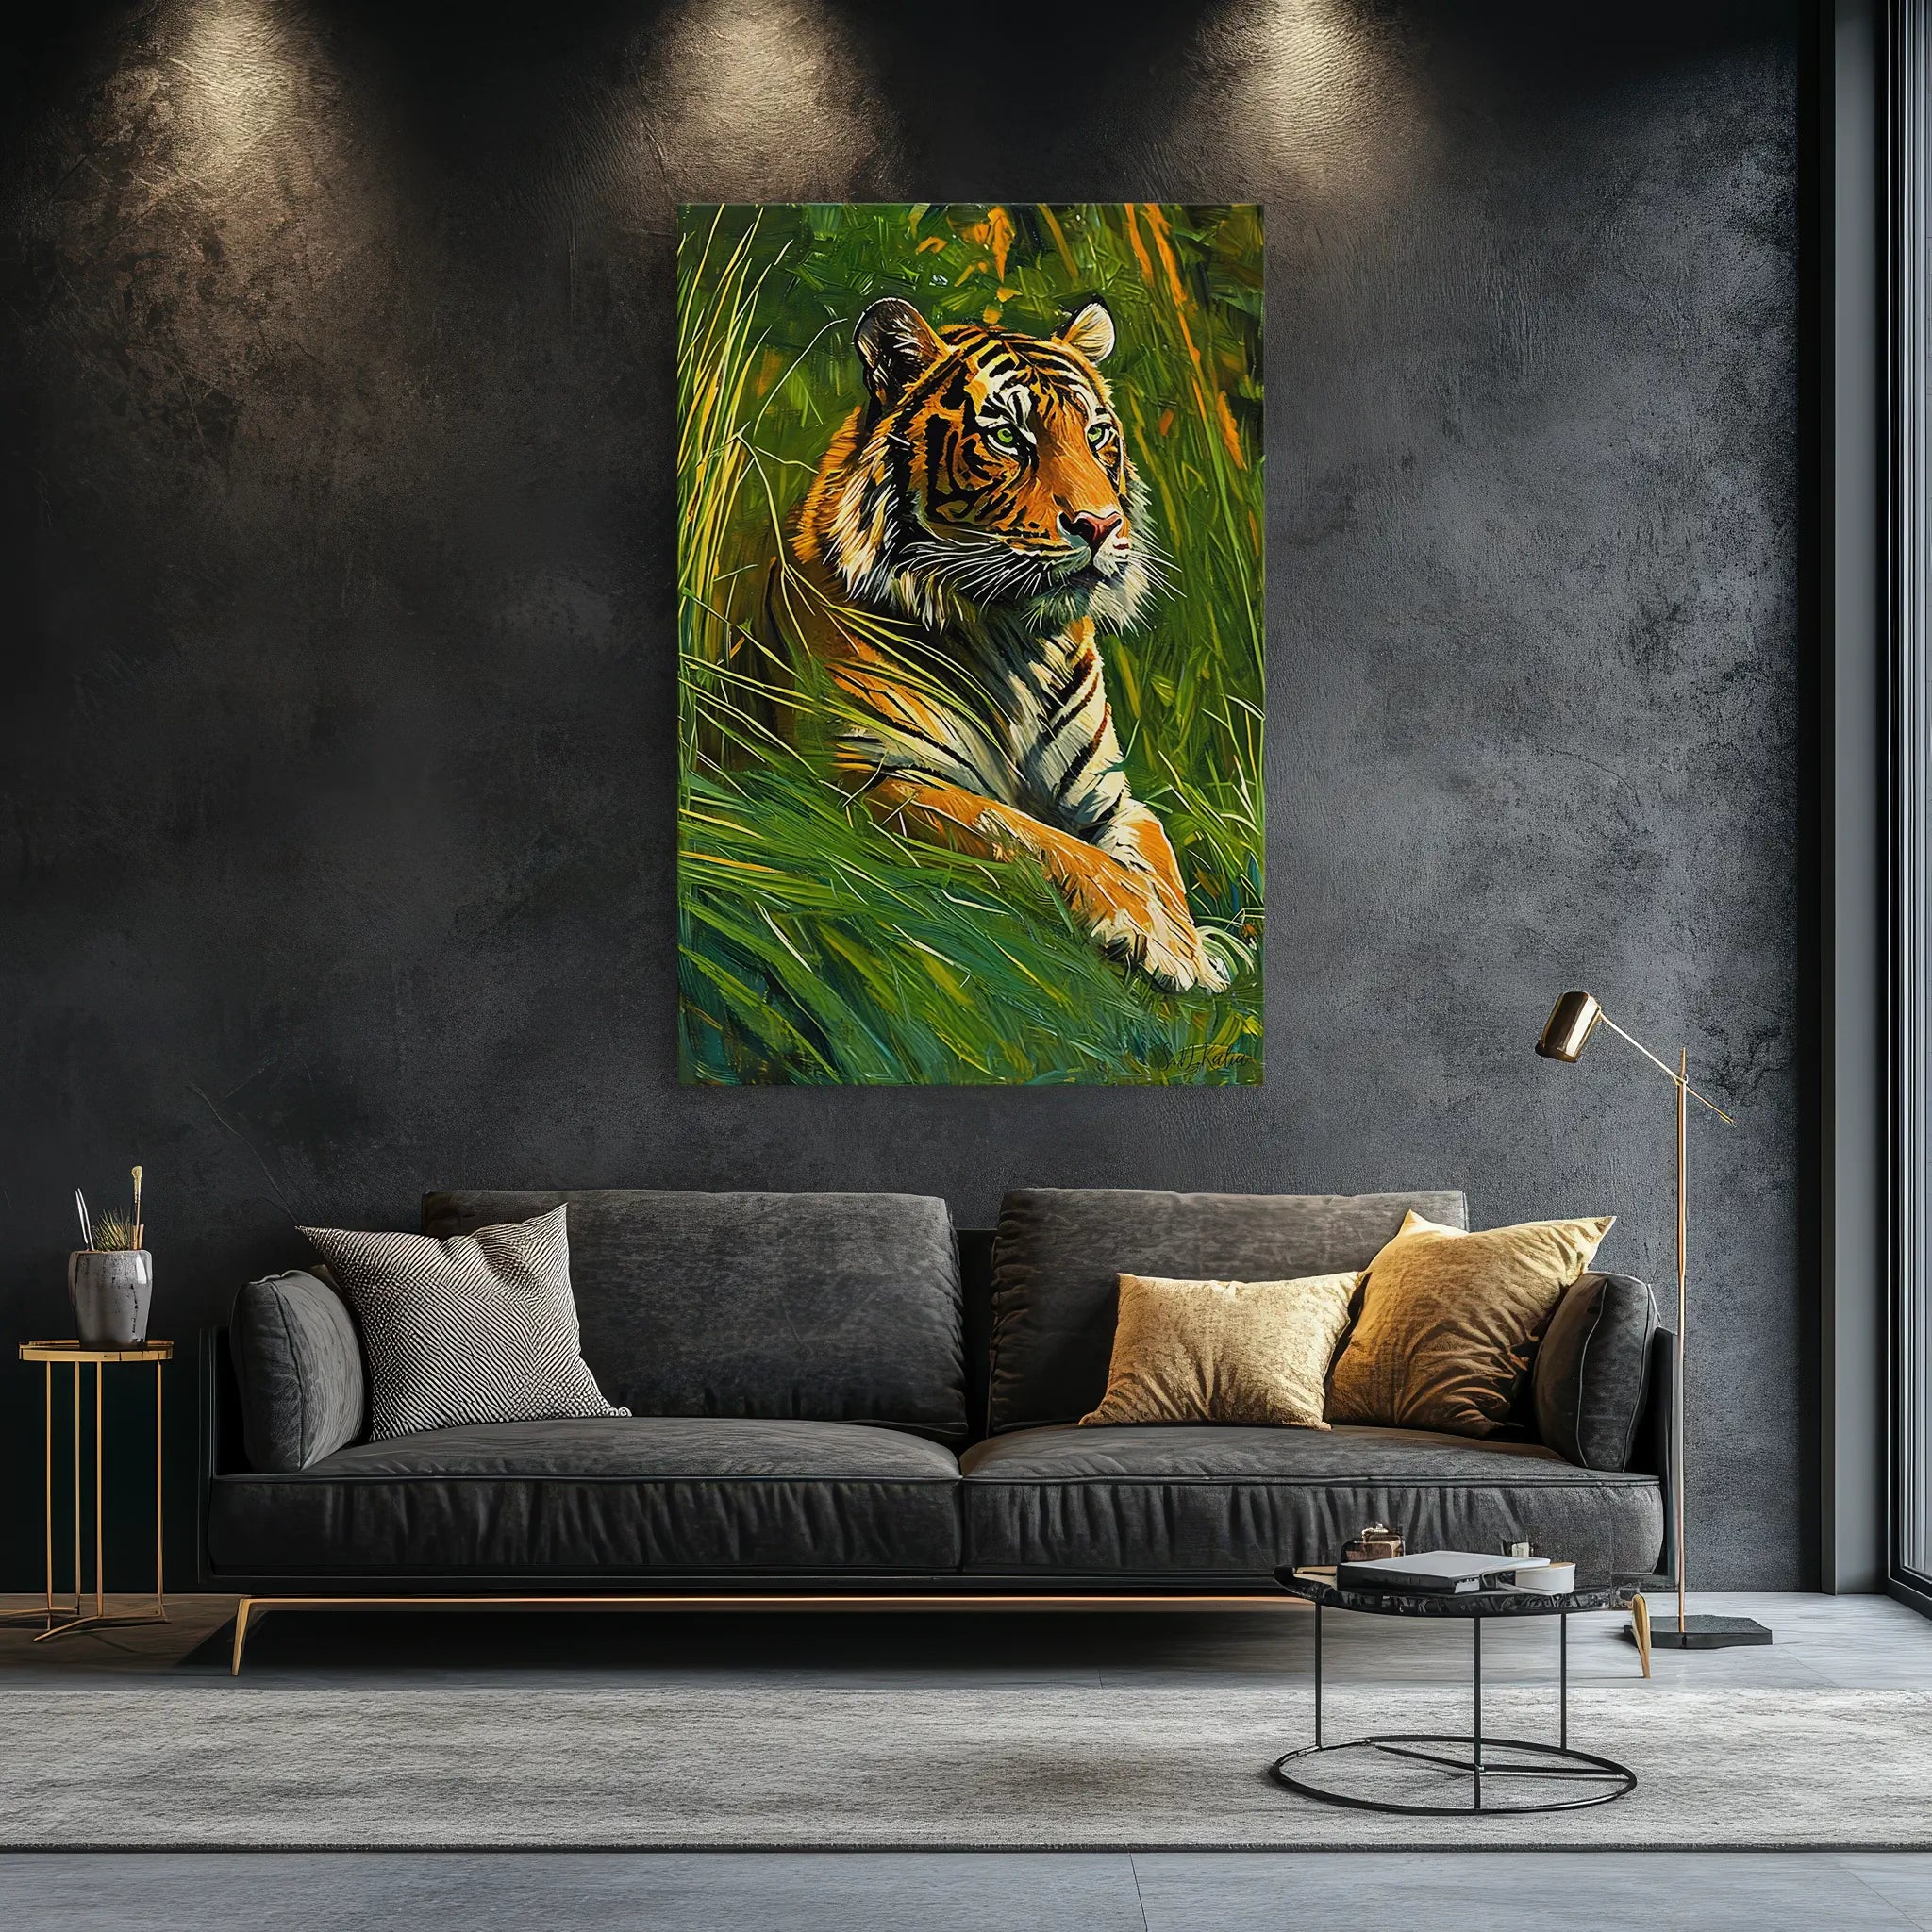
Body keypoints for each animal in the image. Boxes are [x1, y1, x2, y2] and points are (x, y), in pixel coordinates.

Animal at [772, 294, 1228, 995]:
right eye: (1009, 437)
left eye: (1098, 435)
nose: (1102, 524)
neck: (1014, 638)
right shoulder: (872, 775)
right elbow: (1029, 835)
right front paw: (1154, 936)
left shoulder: (1112, 799)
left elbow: (1158, 860)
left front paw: (1191, 944)